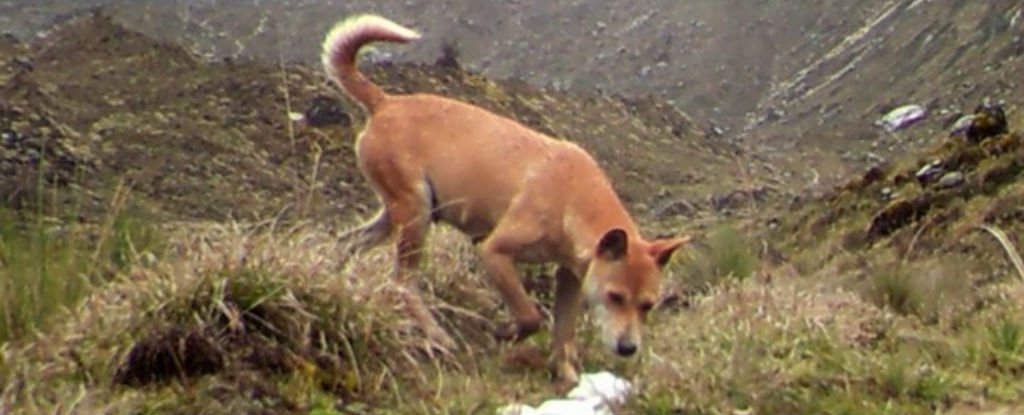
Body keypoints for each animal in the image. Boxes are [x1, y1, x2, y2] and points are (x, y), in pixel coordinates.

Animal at [319, 14, 688, 383]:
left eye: (647, 305)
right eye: (615, 296)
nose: (628, 348)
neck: (572, 197)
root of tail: (385, 102)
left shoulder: (569, 278)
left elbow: (563, 332)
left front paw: (567, 376)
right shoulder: (494, 252)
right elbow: (530, 316)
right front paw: (506, 333)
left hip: (397, 215)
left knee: (346, 244)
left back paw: (336, 282)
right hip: (415, 217)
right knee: (401, 283)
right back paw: (437, 335)